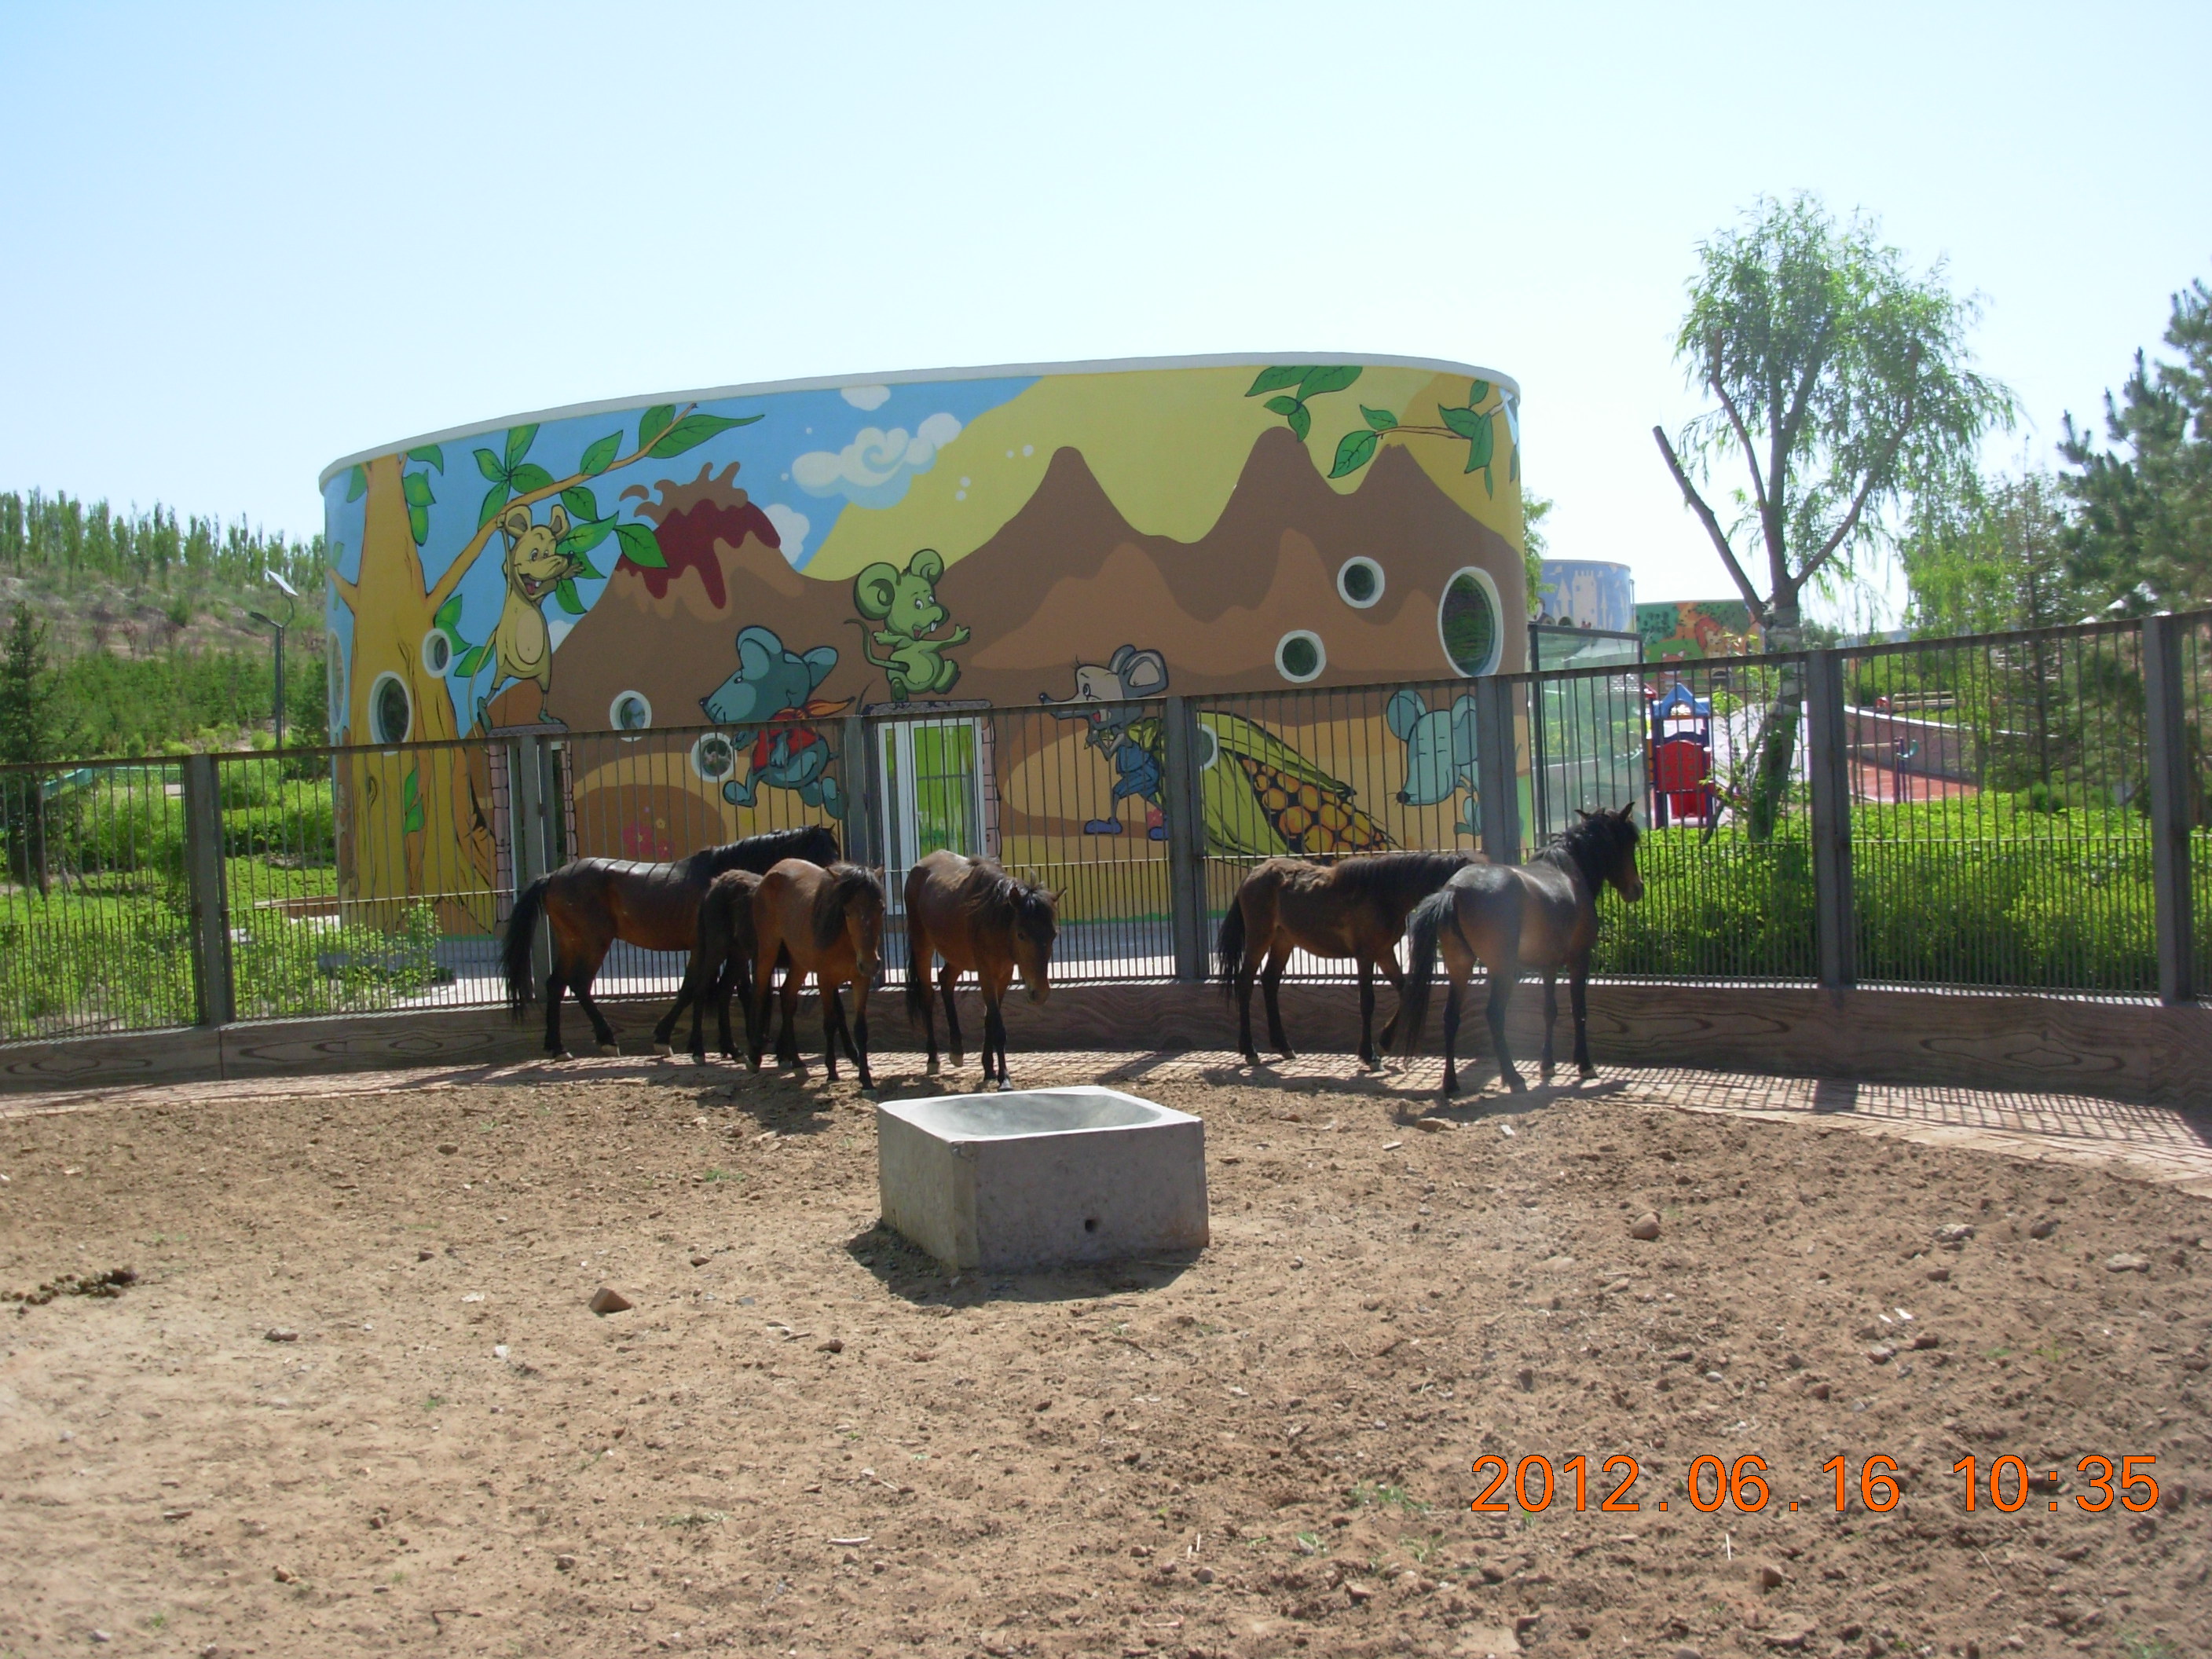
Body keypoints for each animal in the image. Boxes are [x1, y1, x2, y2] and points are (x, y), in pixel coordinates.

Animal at [652, 868, 765, 1063]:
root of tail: (712, 888)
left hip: (738, 953)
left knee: (723, 990)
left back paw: (733, 1049)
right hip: (717, 948)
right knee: (700, 989)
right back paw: (699, 1051)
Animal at [748, 859, 886, 1090]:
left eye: (881, 908)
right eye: (847, 911)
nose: (869, 963)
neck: (845, 942)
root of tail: (773, 870)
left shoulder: (861, 979)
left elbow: (860, 1028)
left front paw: (866, 1079)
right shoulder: (825, 979)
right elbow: (829, 1023)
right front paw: (831, 1071)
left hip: (799, 961)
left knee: (787, 997)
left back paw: (796, 1061)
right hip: (768, 949)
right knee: (759, 993)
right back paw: (754, 1057)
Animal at [902, 849, 1060, 1090]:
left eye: (1053, 935)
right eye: (1021, 934)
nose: (1040, 993)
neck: (994, 918)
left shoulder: (1003, 975)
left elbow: (989, 1021)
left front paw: (989, 1069)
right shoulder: (986, 973)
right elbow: (997, 1026)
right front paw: (1004, 1078)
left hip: (958, 954)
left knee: (946, 981)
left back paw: (957, 1050)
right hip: (923, 945)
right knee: (927, 996)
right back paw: (933, 1058)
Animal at [1216, 850, 1480, 1069]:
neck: (1384, 894)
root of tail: (1252, 876)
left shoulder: (1384, 952)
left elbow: (1405, 991)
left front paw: (1383, 1044)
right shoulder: (1366, 956)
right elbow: (1368, 1001)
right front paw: (1369, 1055)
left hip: (1283, 941)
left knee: (1270, 982)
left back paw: (1284, 1047)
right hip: (1259, 938)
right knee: (1245, 983)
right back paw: (1250, 1051)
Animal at [1394, 805, 1643, 1095]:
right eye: (1628, 841)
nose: (1637, 889)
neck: (1569, 874)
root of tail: (1454, 891)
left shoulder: (1549, 965)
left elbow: (1550, 1011)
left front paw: (1547, 1065)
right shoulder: (1579, 959)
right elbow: (1579, 1010)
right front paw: (1584, 1065)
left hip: (1460, 965)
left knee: (1451, 1017)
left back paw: (1451, 1084)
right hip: (1501, 970)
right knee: (1494, 1015)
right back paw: (1513, 1078)